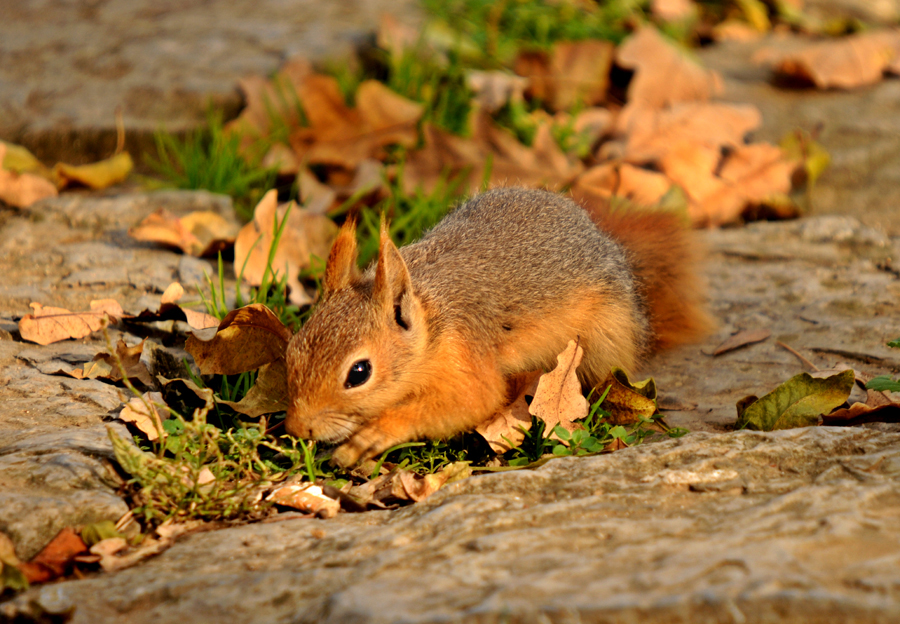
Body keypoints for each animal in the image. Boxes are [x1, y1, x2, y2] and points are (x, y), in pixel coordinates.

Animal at [284, 188, 712, 466]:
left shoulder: (464, 355)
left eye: (359, 373)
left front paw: (375, 434)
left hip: (604, 338)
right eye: (291, 350)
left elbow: (473, 400)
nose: (297, 428)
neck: (433, 318)